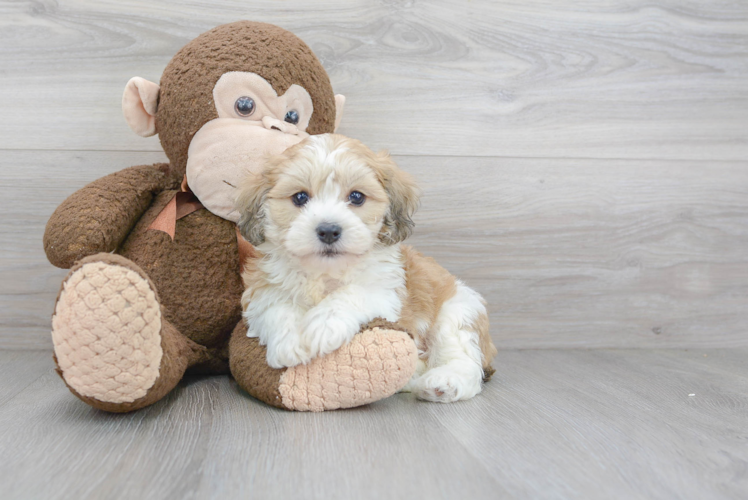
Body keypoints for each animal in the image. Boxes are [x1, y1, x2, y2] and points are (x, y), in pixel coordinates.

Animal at [237, 134, 500, 402]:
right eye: (300, 197)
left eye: (357, 197)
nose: (329, 230)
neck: (326, 271)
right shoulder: (263, 288)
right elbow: (276, 306)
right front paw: (290, 341)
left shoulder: (386, 292)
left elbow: (353, 293)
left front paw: (323, 325)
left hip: (459, 311)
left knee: (463, 359)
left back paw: (444, 382)